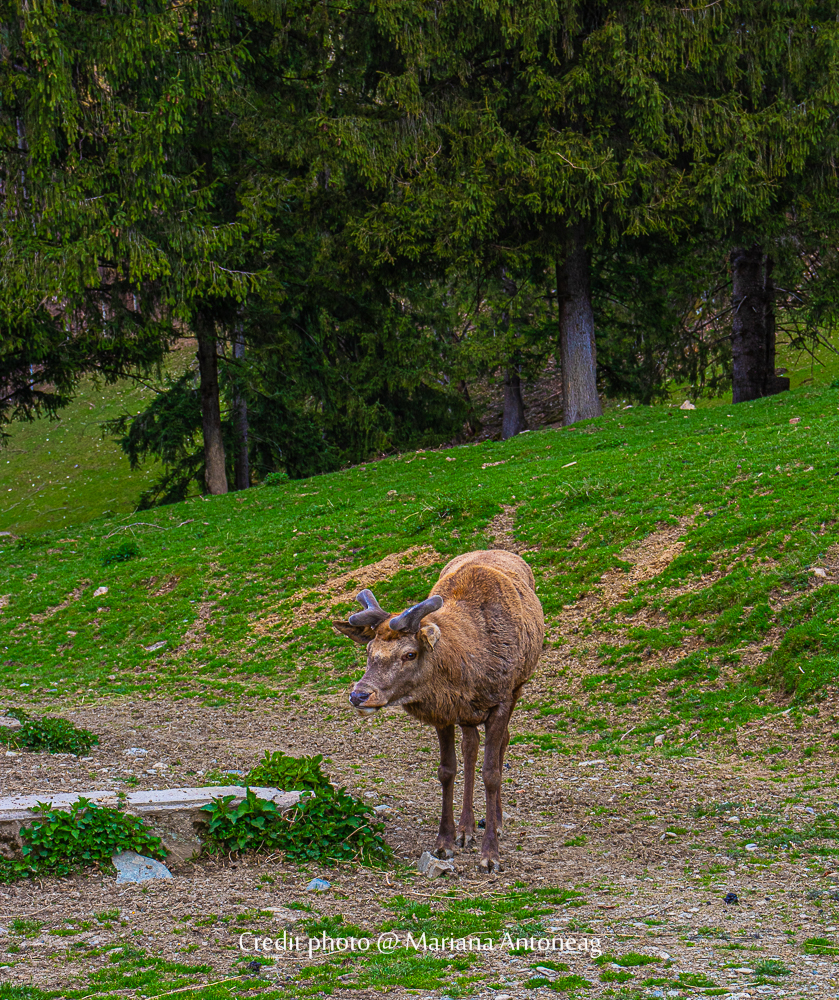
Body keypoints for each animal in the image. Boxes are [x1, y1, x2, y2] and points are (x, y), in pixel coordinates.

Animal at [332, 549, 544, 871]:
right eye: (369, 652)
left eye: (410, 653)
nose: (359, 695)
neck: (470, 668)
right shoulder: (444, 709)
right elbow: (447, 770)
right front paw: (445, 842)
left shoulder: (502, 699)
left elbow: (492, 773)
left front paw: (491, 855)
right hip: (468, 714)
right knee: (471, 746)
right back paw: (466, 828)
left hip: (519, 686)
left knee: (501, 744)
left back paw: (495, 822)